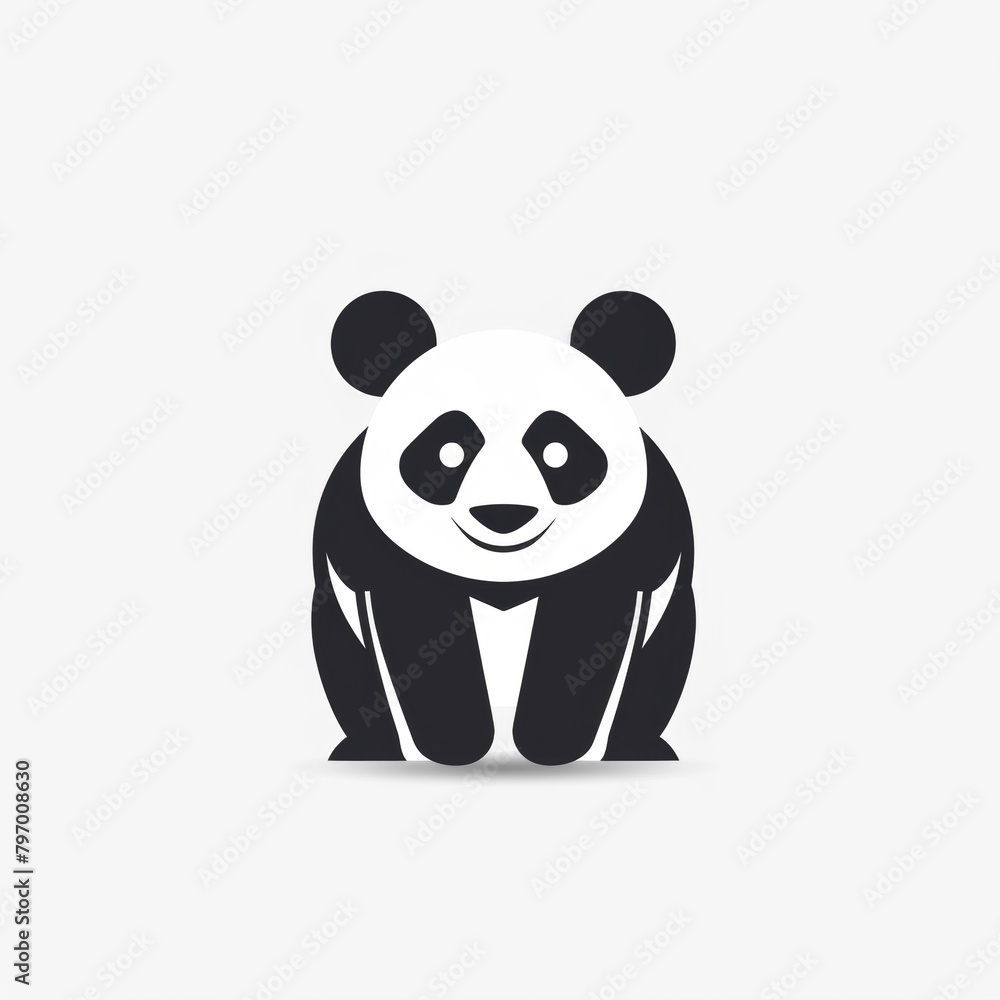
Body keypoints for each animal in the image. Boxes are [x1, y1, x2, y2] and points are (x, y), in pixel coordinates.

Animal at [311, 290, 695, 765]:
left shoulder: (646, 534)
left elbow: (596, 616)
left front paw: (553, 741)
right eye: (449, 451)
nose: (503, 513)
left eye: (558, 451)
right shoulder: (359, 534)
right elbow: (409, 616)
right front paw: (453, 740)